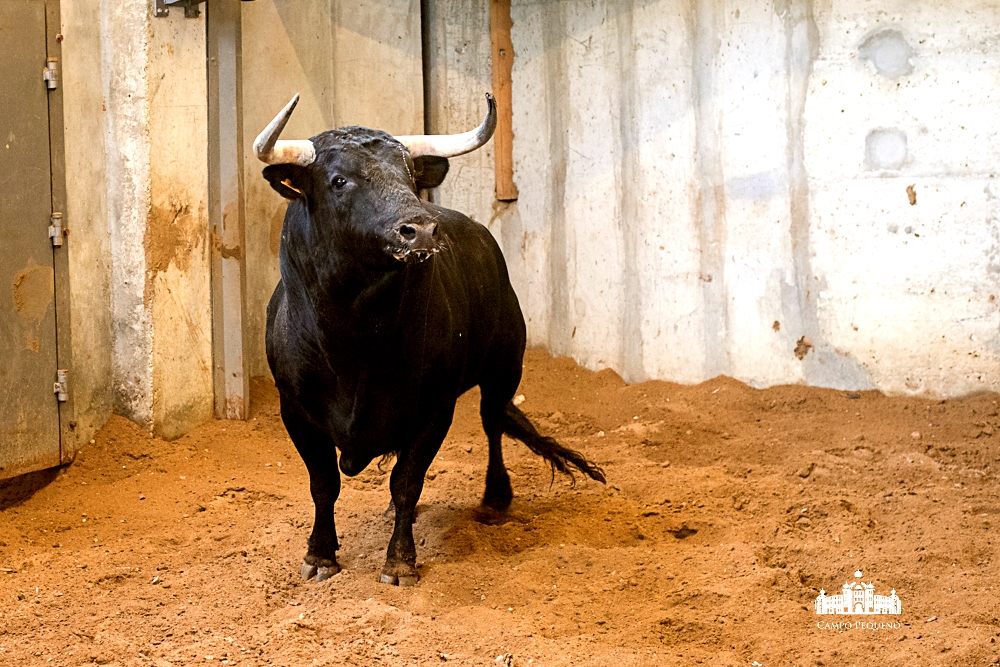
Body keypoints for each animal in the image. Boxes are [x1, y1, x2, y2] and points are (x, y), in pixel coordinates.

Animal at [256, 92, 605, 586]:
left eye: (410, 176)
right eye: (339, 180)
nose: (420, 229)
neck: (355, 342)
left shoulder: (434, 407)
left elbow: (407, 480)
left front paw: (400, 561)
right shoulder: (295, 410)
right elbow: (324, 483)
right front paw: (320, 555)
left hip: (503, 368)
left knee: (493, 423)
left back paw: (495, 499)